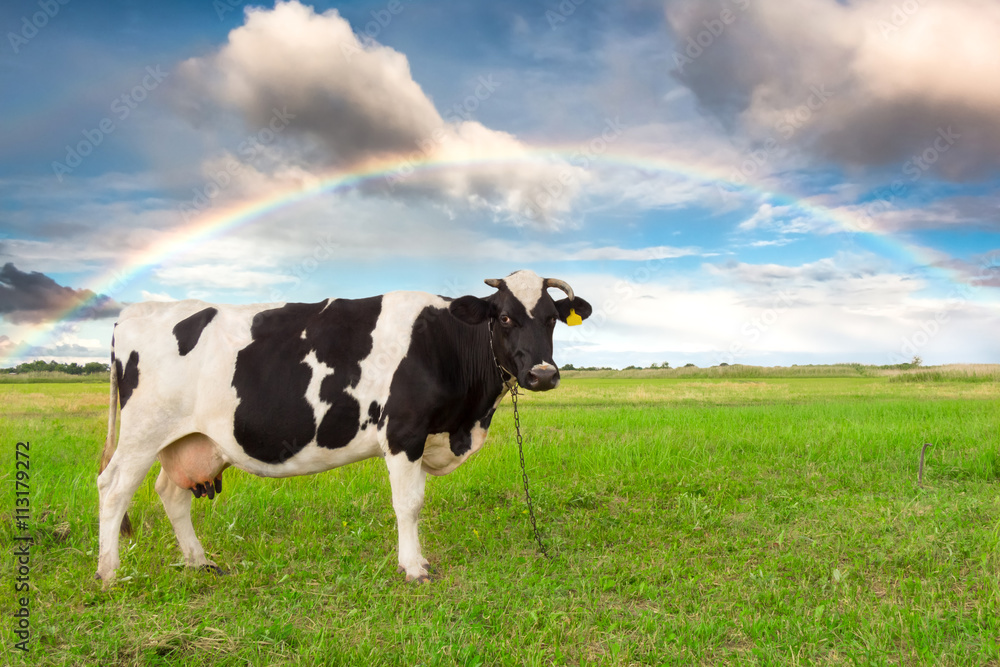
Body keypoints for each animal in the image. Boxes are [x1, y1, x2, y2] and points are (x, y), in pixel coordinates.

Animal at [94, 272, 588, 584]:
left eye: (551, 317)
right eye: (503, 317)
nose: (543, 374)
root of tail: (134, 313)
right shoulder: (403, 433)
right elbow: (409, 504)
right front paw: (413, 567)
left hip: (188, 439)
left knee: (171, 493)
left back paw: (198, 562)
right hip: (142, 433)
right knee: (113, 487)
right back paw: (109, 572)